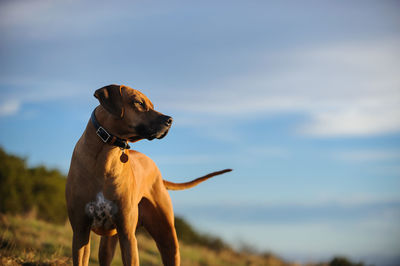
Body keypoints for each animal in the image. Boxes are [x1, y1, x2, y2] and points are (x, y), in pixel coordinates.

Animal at [64, 84, 230, 266]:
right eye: (139, 103)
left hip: (167, 238)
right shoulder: (80, 231)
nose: (170, 120)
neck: (106, 156)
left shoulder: (127, 234)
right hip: (109, 241)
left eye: (151, 105)